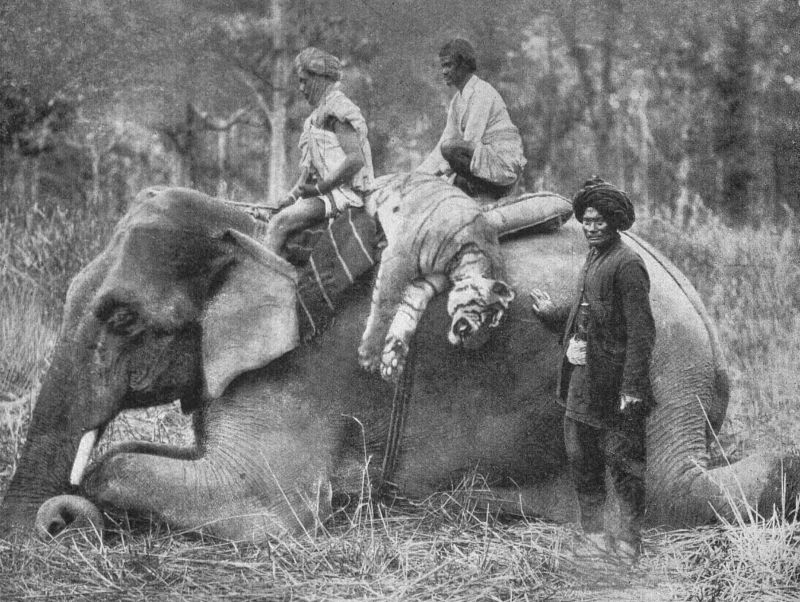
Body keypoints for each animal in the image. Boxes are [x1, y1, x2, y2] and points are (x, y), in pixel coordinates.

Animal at [360, 171, 516, 382]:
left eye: (492, 327)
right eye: (488, 316)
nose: (472, 346)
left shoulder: (424, 284)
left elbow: (408, 313)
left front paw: (392, 358)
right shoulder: (401, 257)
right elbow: (386, 303)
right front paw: (370, 355)